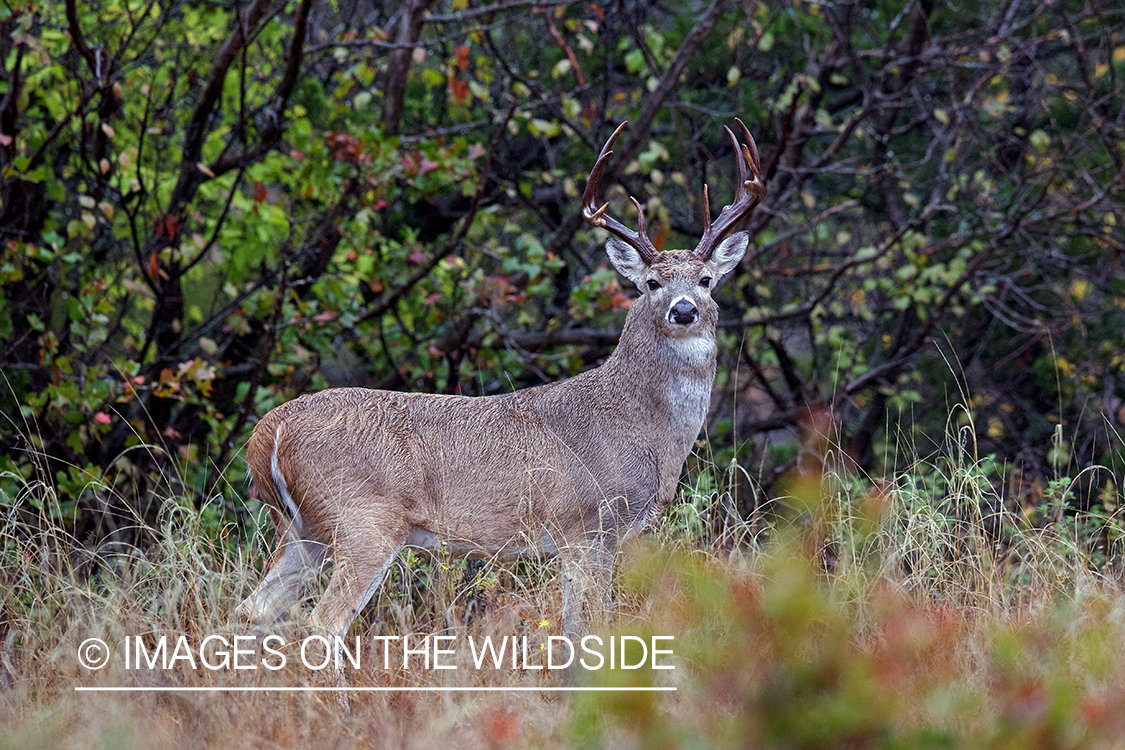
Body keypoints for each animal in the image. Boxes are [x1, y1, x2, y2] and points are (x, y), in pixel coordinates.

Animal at [236, 118, 765, 647]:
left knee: (251, 609)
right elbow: (587, 629)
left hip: (303, 529)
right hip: (362, 519)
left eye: (705, 280)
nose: (684, 310)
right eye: (653, 283)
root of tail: (268, 431)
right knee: (321, 623)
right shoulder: (588, 527)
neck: (641, 427)